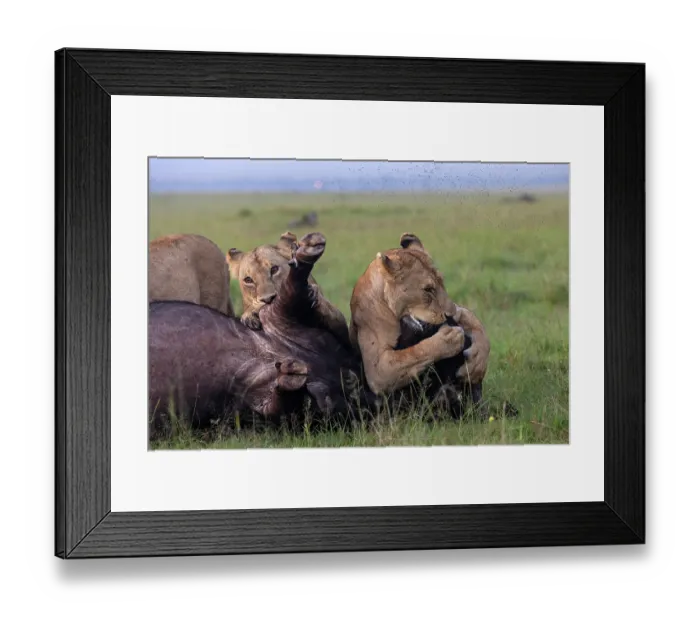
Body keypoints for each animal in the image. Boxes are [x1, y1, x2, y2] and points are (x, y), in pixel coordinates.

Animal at [349, 232, 490, 406]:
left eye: (442, 283)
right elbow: (414, 353)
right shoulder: (378, 371)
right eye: (428, 290)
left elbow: (471, 320)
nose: (450, 314)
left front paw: (478, 359)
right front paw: (450, 338)